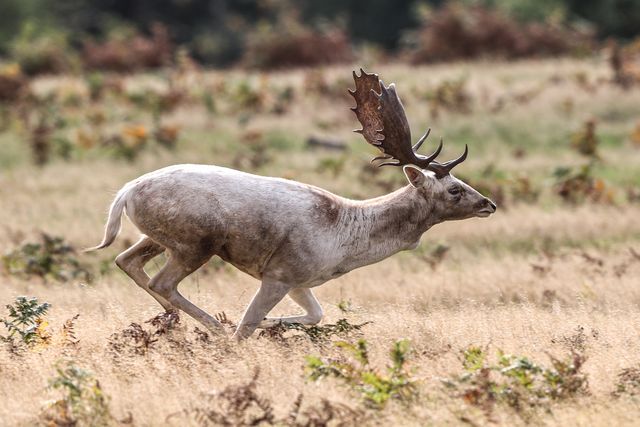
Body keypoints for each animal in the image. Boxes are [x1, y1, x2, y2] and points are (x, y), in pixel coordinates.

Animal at [88, 69, 496, 340]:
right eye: (455, 189)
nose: (489, 204)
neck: (345, 240)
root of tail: (126, 191)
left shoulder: (302, 279)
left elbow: (316, 314)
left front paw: (276, 324)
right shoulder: (281, 271)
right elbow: (249, 324)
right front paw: (249, 330)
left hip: (160, 236)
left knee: (126, 260)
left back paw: (176, 320)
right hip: (197, 239)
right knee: (162, 280)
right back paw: (214, 326)